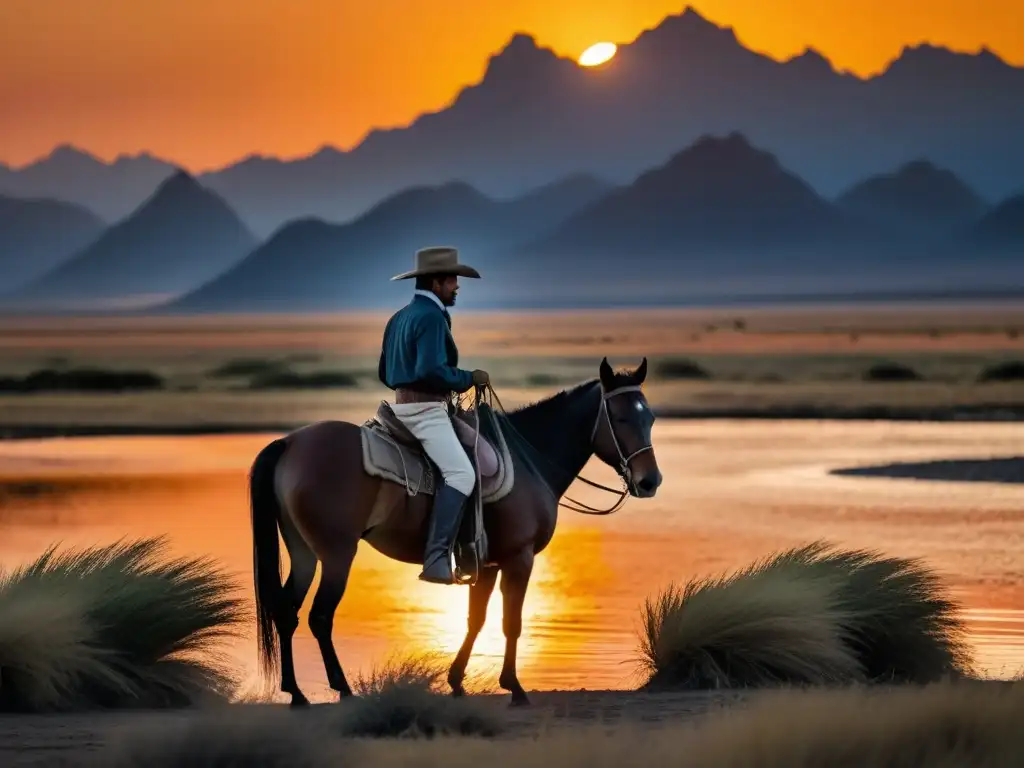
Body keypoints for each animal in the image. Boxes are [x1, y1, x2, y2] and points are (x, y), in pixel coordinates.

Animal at [247, 358, 663, 708]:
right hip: (336, 555)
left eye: (651, 418)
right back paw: (343, 689)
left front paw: (457, 680)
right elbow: (511, 622)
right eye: (620, 418)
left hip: (304, 553)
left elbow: (475, 620)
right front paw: (514, 687)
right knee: (320, 616)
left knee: (286, 612)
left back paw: (296, 692)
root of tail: (290, 443)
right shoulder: (519, 558)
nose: (650, 481)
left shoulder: (487, 563)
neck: (528, 458)